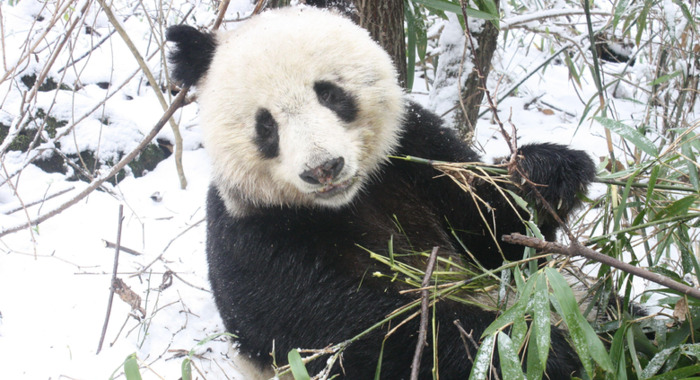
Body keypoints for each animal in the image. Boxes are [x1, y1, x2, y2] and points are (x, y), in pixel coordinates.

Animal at [165, 6, 596, 380]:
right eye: (266, 125)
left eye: (329, 93)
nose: (323, 168)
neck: (348, 200)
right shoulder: (252, 233)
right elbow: (346, 331)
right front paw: (528, 348)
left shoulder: (414, 154)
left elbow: (498, 243)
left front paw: (546, 174)